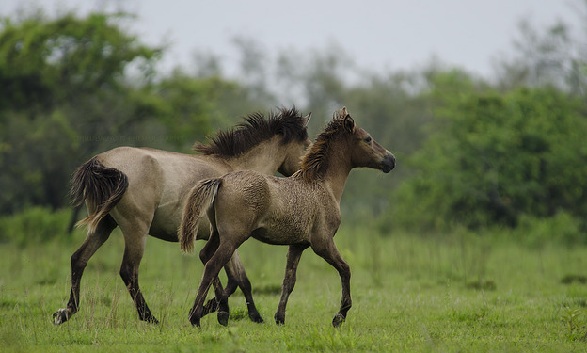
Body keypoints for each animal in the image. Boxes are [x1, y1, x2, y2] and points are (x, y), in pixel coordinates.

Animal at [54, 106, 312, 324]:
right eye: (307, 146)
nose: (305, 176)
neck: (236, 173)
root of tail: (102, 161)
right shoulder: (230, 238)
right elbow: (233, 278)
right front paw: (219, 311)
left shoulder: (222, 239)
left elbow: (236, 278)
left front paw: (235, 313)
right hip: (135, 229)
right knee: (128, 270)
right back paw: (149, 317)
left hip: (104, 225)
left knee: (79, 258)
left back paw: (66, 312)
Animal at [180, 106, 396, 328]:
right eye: (368, 139)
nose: (391, 160)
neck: (323, 185)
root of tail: (221, 181)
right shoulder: (322, 242)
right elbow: (345, 269)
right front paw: (339, 316)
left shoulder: (298, 245)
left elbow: (288, 281)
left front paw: (280, 318)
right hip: (233, 238)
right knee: (212, 266)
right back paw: (197, 317)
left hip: (217, 234)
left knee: (205, 256)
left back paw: (215, 310)